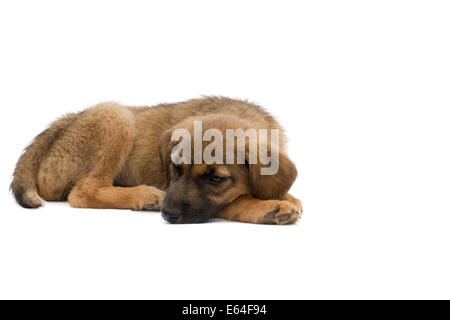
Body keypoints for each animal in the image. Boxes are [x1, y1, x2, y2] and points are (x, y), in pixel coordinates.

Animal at [10, 97, 302, 225]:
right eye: (175, 168)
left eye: (216, 179)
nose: (167, 214)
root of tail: (60, 125)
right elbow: (238, 201)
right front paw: (271, 207)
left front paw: (284, 199)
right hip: (117, 117)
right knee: (82, 192)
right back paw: (144, 195)